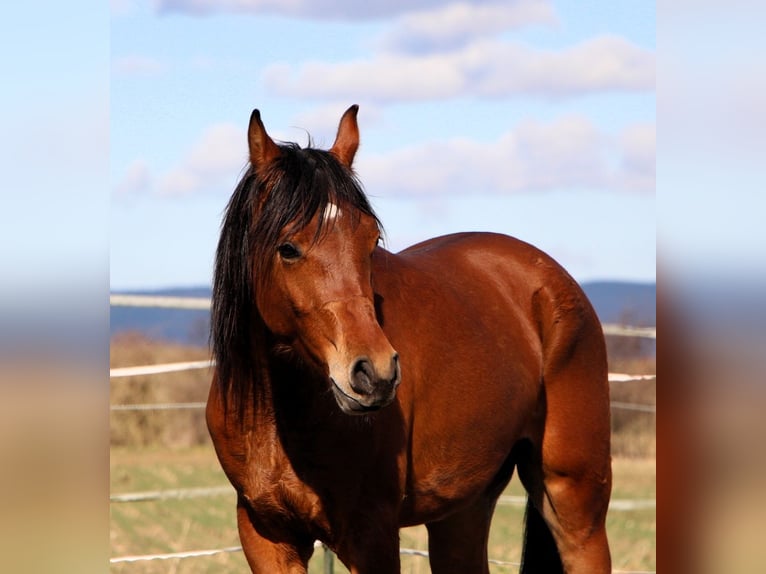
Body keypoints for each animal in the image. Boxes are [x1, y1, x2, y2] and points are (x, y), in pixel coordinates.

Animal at [207, 106, 616, 572]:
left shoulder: (372, 536)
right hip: (462, 511)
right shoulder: (266, 535)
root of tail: (550, 278)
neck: (283, 415)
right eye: (288, 248)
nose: (375, 374)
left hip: (575, 501)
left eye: (371, 241)